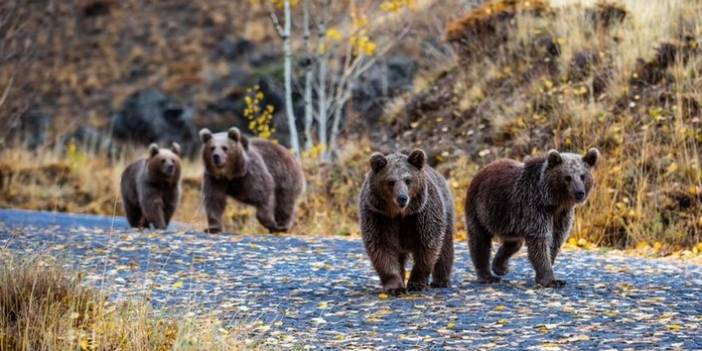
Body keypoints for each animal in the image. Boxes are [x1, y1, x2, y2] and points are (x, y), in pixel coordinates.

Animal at [358, 148, 456, 294]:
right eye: (391, 181)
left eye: (408, 180)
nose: (402, 198)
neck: (400, 214)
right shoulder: (379, 217)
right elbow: (382, 248)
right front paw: (395, 286)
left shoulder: (421, 215)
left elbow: (427, 246)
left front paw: (416, 284)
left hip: (446, 211)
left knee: (445, 247)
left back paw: (441, 281)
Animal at [468, 148, 600, 288]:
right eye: (567, 177)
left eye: (583, 176)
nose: (579, 192)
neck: (553, 201)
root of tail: (482, 169)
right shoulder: (535, 208)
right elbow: (540, 241)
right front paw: (551, 280)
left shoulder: (561, 215)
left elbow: (556, 240)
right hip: (481, 209)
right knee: (479, 241)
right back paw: (488, 276)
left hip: (508, 222)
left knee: (514, 243)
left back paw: (500, 267)